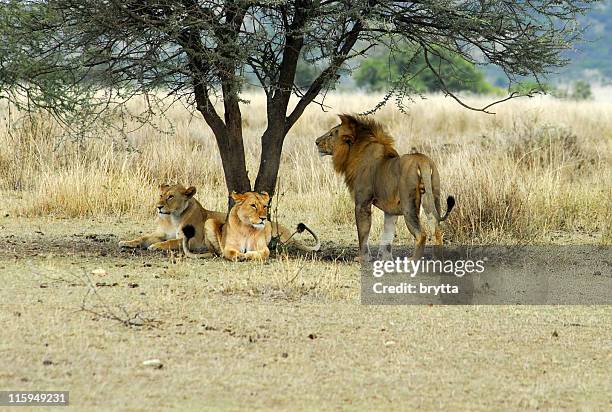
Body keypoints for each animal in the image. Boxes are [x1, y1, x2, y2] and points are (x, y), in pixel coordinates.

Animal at [316, 114, 454, 260]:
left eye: (331, 134)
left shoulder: (362, 204)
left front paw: (362, 258)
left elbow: (362, 234)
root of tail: (422, 160)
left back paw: (412, 260)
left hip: (408, 206)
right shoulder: (391, 210)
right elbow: (387, 237)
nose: (316, 141)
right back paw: (437, 259)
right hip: (432, 199)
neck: (353, 153)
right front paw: (386, 259)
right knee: (437, 231)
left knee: (421, 234)